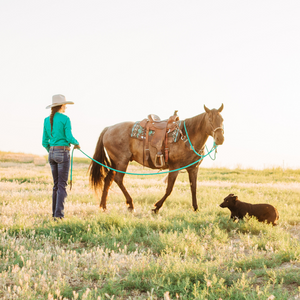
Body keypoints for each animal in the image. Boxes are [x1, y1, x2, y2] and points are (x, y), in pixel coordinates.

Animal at [88, 104, 224, 212]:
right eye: (210, 119)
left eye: (222, 119)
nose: (220, 139)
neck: (187, 136)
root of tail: (109, 128)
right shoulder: (175, 167)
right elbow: (169, 189)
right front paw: (156, 207)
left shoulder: (193, 169)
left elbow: (194, 188)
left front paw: (195, 208)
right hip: (121, 161)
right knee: (118, 179)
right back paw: (130, 204)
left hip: (114, 162)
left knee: (108, 180)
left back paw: (103, 206)